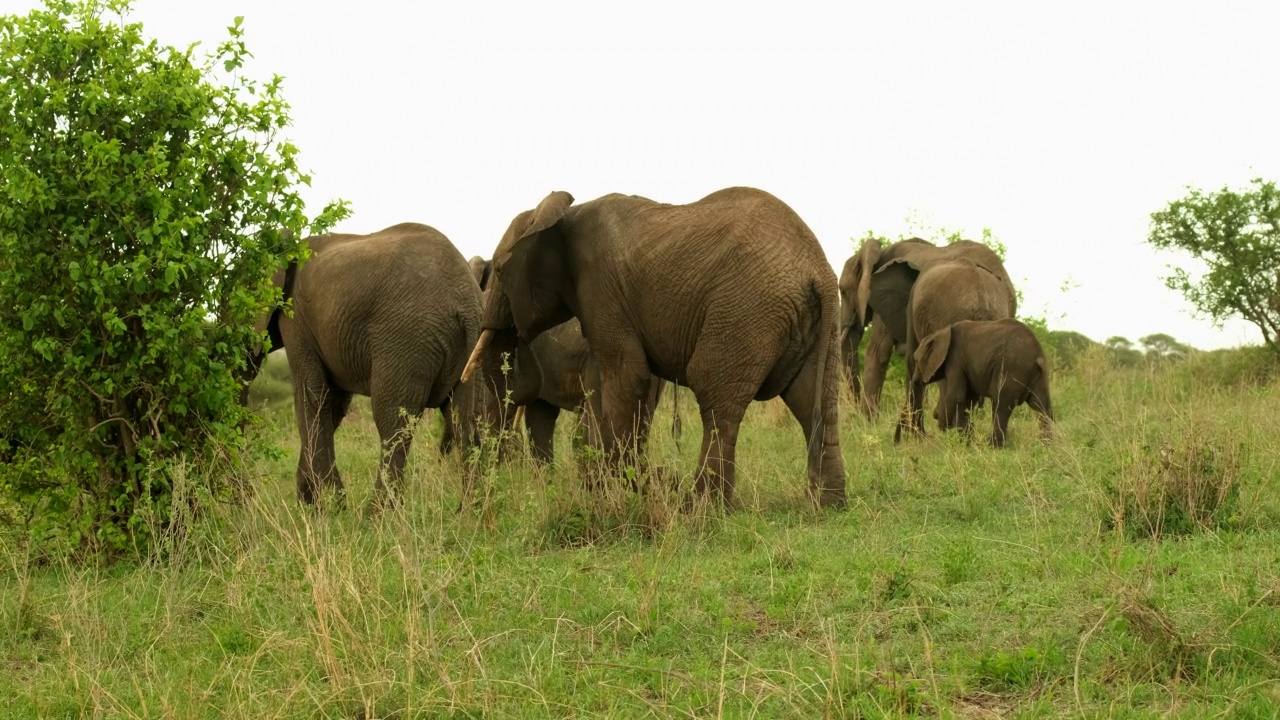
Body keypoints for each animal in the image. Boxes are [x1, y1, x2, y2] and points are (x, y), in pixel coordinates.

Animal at [272, 221, 501, 502]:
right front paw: (314, 499)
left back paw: (374, 514)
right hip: (473, 344)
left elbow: (314, 396)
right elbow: (333, 404)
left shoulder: (295, 320)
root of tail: (466, 300)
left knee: (393, 425)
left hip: (407, 340)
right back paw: (472, 509)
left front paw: (326, 505)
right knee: (466, 421)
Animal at [460, 188, 849, 507]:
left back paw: (702, 507)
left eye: (500, 273)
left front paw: (622, 492)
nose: (664, 476)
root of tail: (819, 270)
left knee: (716, 398)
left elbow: (626, 376)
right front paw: (616, 488)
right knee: (812, 402)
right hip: (816, 327)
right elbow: (605, 384)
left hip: (746, 311)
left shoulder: (601, 289)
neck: (560, 215)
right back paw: (828, 503)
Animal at [916, 317, 1054, 445]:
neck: (942, 332)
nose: (935, 415)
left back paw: (993, 446)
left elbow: (957, 398)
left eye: (916, 360)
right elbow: (969, 400)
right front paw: (967, 441)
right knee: (1041, 406)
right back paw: (1046, 446)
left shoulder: (955, 360)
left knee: (1001, 405)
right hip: (1039, 375)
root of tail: (1038, 355)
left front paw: (953, 434)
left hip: (1012, 368)